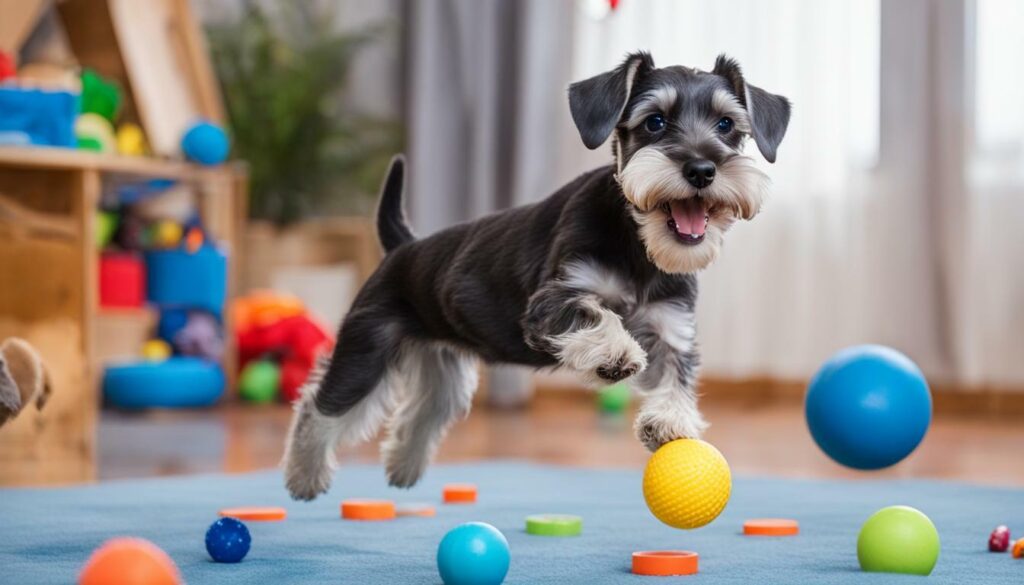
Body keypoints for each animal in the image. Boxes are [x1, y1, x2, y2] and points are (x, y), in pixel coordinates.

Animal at [286, 52, 790, 502]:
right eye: (654, 122)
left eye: (726, 125)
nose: (702, 169)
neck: (639, 247)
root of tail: (402, 247)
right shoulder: (551, 303)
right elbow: (597, 315)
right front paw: (615, 353)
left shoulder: (671, 330)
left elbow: (675, 378)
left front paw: (670, 421)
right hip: (366, 352)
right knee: (319, 407)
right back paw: (304, 476)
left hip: (442, 369)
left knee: (421, 413)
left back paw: (402, 467)